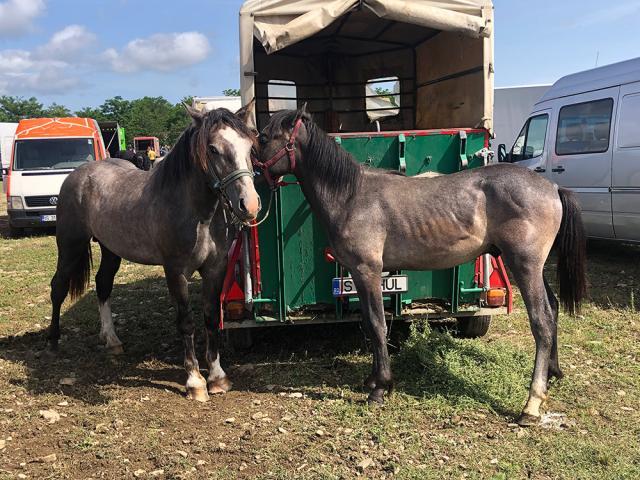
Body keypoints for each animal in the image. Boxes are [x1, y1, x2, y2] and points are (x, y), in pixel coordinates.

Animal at [48, 105, 262, 402]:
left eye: (249, 145)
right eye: (213, 149)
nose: (249, 205)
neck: (197, 214)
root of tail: (77, 174)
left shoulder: (215, 268)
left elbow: (210, 317)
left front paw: (218, 377)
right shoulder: (175, 271)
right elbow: (186, 322)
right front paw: (195, 382)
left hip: (111, 249)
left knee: (103, 285)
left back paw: (112, 340)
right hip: (70, 244)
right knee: (58, 286)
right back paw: (53, 340)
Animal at [256, 108, 584, 424]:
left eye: (263, 137)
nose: (252, 181)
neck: (351, 196)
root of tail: (553, 187)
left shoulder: (367, 271)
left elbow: (377, 324)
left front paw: (381, 388)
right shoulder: (360, 276)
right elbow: (369, 324)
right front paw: (373, 379)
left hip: (524, 265)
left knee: (541, 322)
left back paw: (531, 404)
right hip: (535, 268)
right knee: (553, 308)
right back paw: (553, 374)